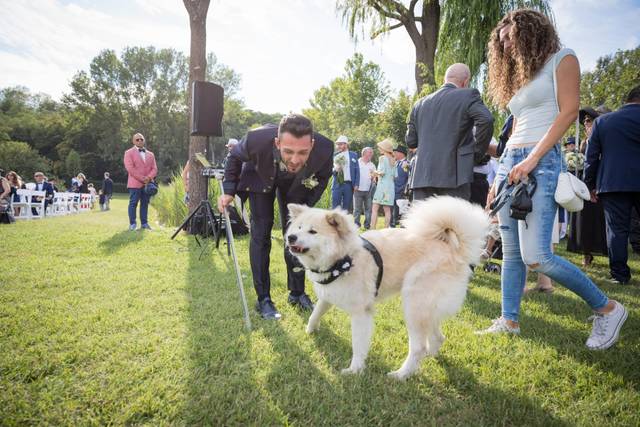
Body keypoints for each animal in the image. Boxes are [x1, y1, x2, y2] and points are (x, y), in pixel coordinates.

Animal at [286, 196, 490, 380]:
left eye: (313, 231)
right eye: (298, 228)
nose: (290, 237)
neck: (344, 258)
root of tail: (455, 251)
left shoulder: (361, 313)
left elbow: (358, 345)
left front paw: (355, 370)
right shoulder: (328, 296)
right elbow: (315, 314)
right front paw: (309, 331)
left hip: (414, 305)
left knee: (419, 347)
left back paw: (401, 374)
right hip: (428, 309)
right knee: (438, 338)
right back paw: (428, 359)